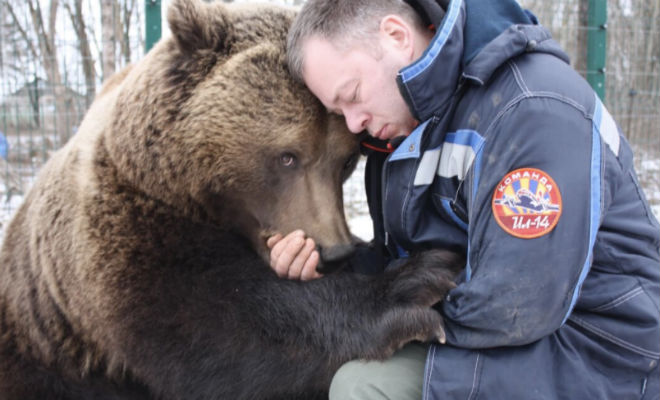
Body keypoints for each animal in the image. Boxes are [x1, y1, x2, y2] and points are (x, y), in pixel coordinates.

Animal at [0, 0, 462, 400]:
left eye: (346, 159)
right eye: (287, 155)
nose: (334, 252)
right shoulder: (124, 238)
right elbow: (215, 329)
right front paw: (417, 282)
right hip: (37, 354)